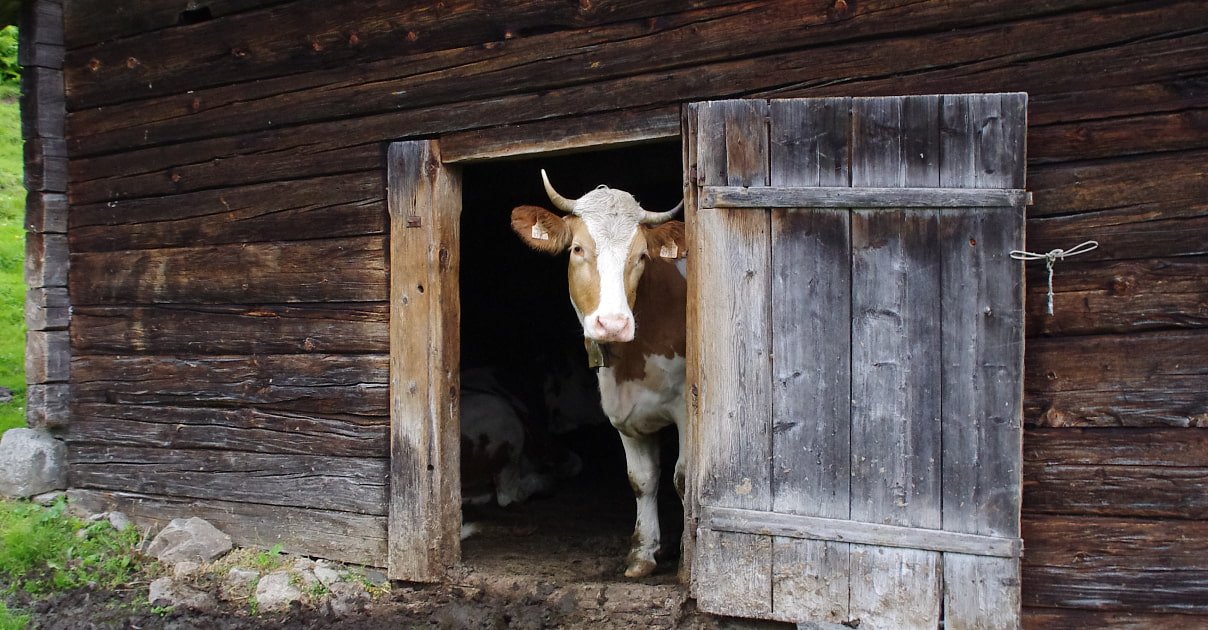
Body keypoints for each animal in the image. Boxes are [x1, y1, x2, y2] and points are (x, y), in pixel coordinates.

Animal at [509, 170, 687, 578]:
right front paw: (643, 553)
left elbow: (684, 478)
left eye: (641, 256)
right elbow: (642, 480)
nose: (613, 323)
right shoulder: (623, 410)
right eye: (577, 249)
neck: (631, 362)